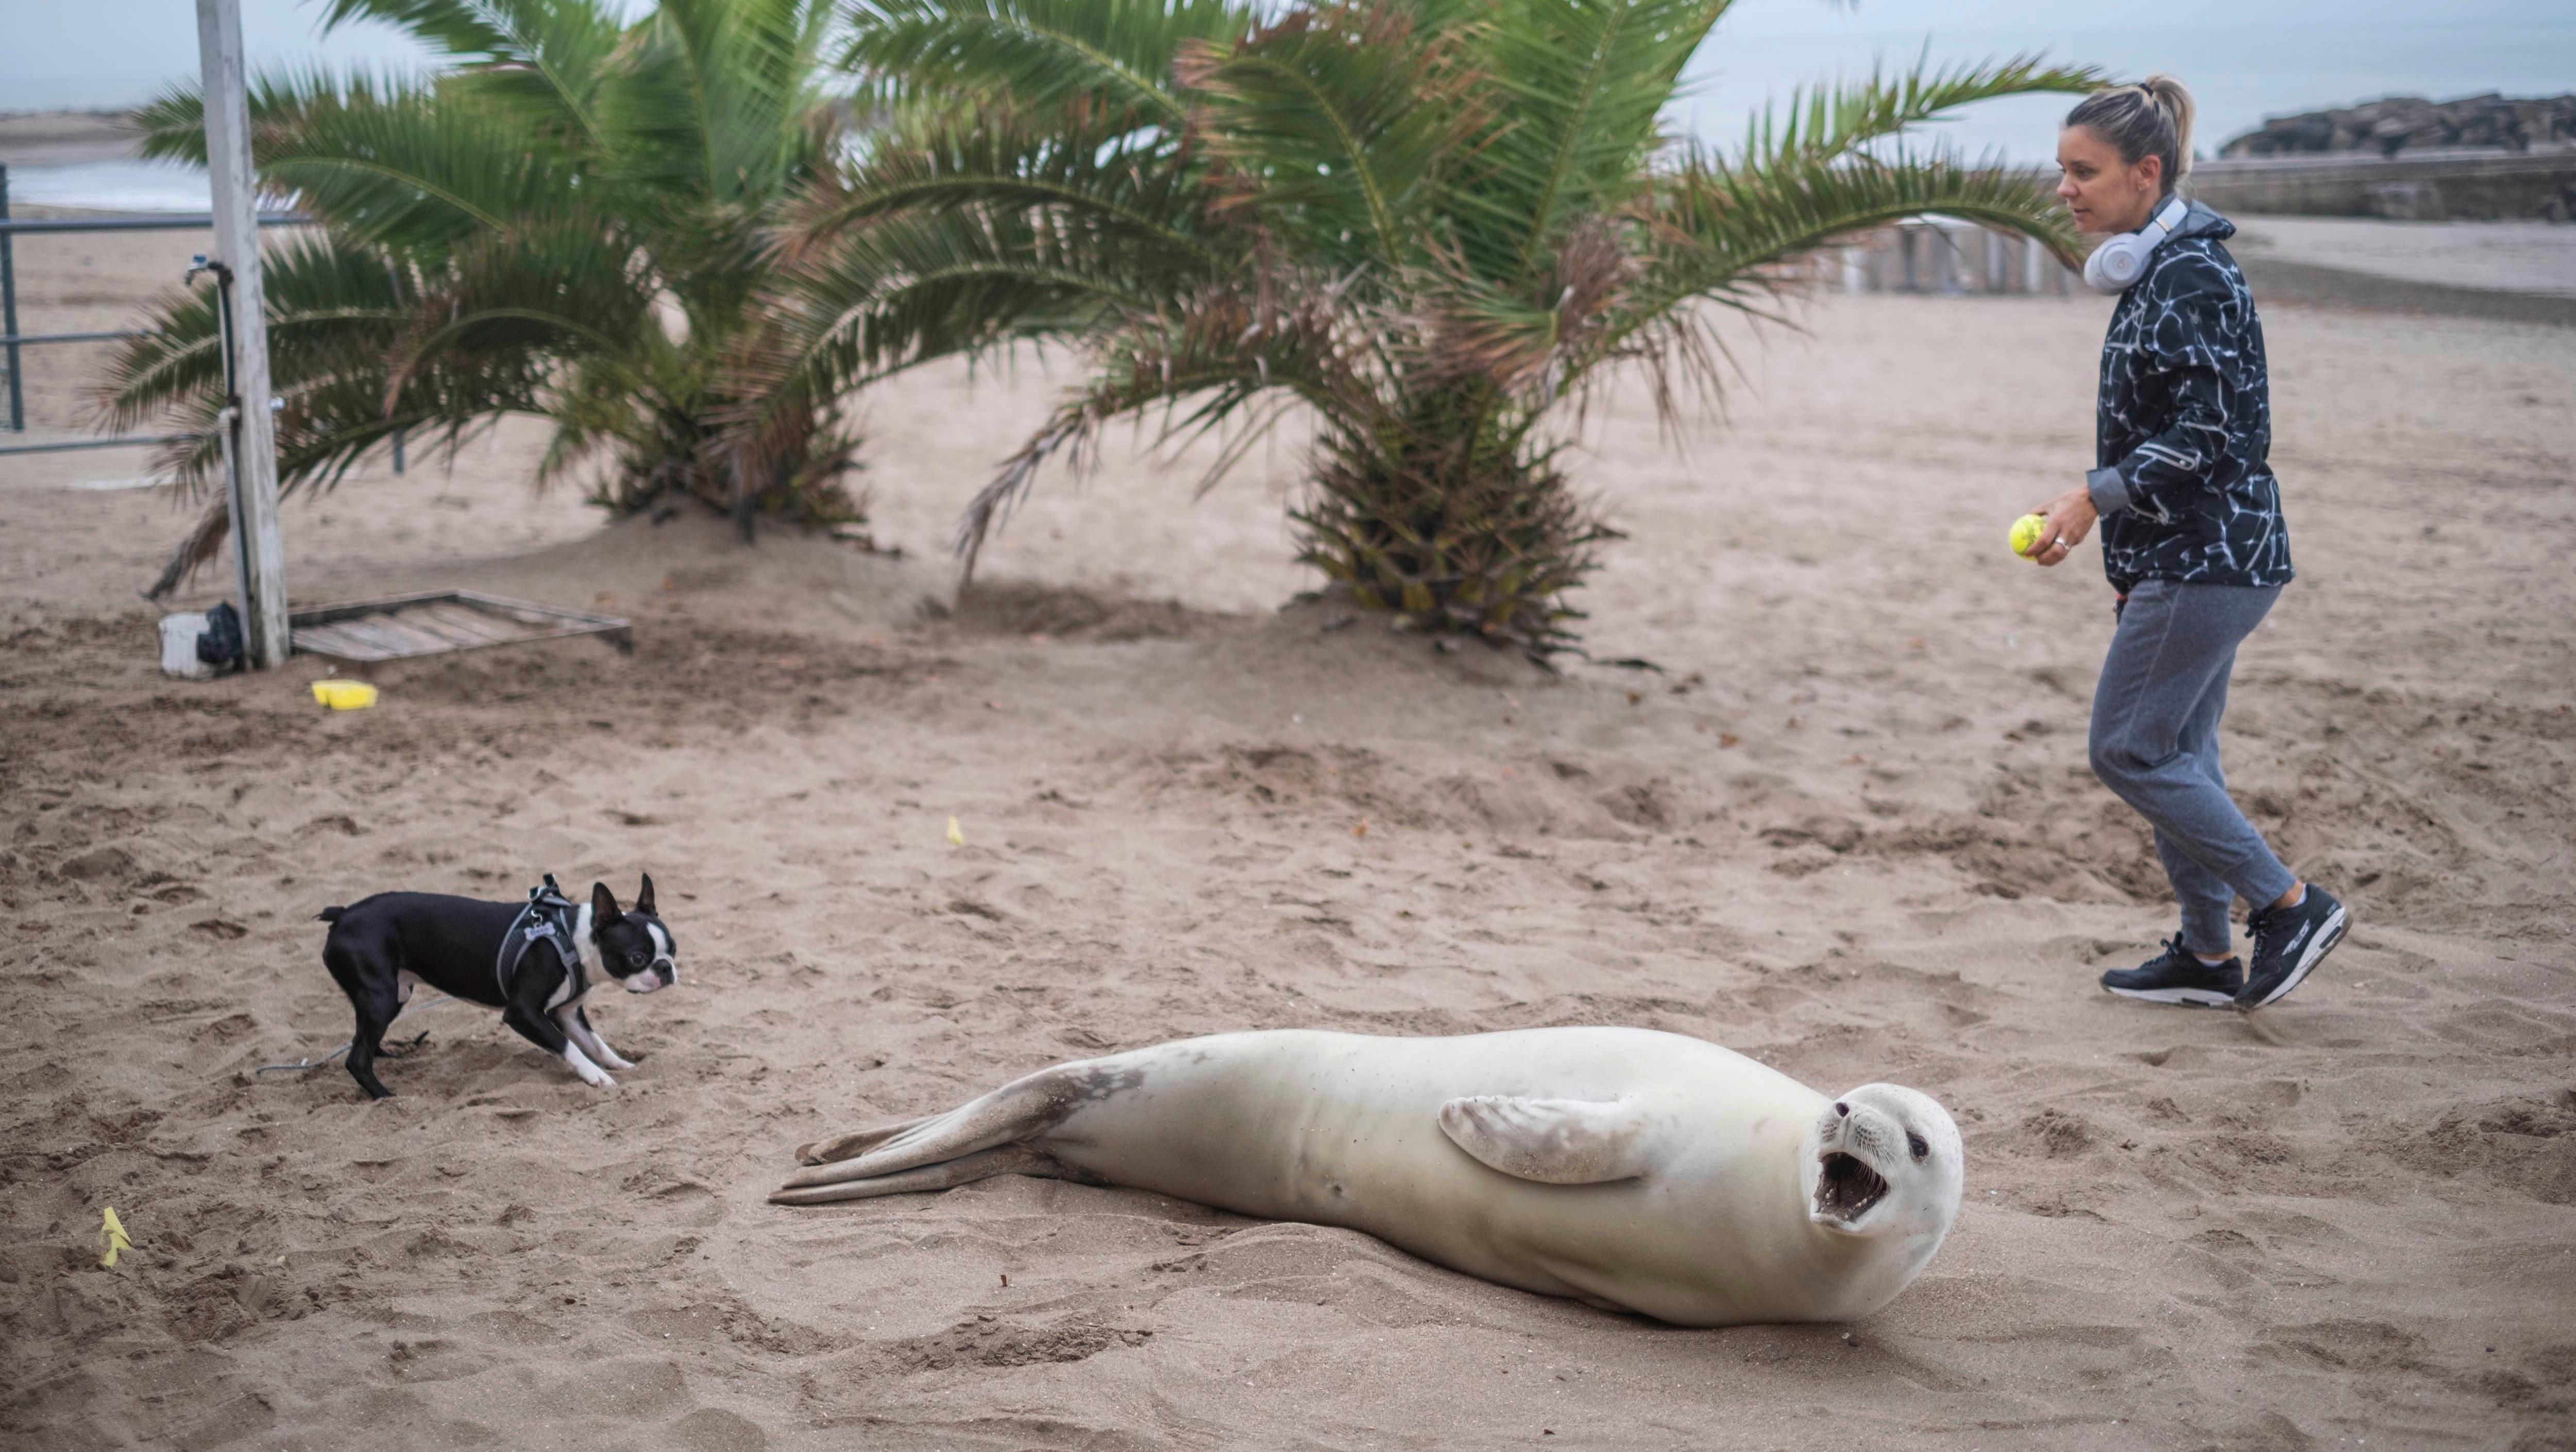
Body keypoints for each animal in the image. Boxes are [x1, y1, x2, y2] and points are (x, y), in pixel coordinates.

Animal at [315, 875, 680, 1102]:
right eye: (637, 958)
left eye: (673, 950)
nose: (666, 968)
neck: (575, 940)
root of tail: (343, 915)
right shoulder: (523, 1013)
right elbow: (568, 1046)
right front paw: (595, 1076)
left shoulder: (568, 1013)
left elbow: (596, 1043)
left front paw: (619, 1064)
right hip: (381, 997)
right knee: (356, 1059)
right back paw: (386, 1097)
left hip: (394, 994)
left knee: (363, 1039)